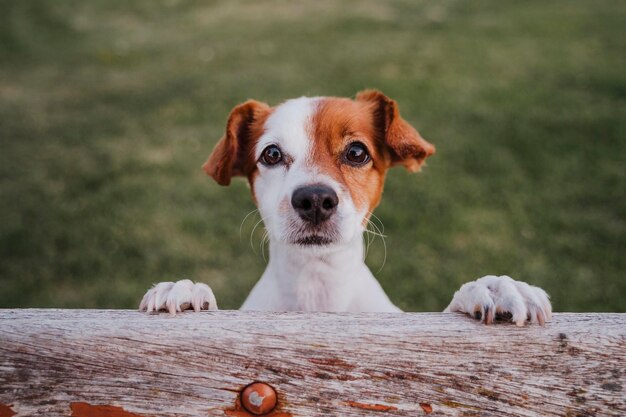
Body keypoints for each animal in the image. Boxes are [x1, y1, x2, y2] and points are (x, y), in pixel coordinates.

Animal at [139, 90, 548, 324]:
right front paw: (186, 291)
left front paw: (493, 287)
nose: (314, 199)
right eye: (271, 154)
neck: (318, 286)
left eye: (356, 152)